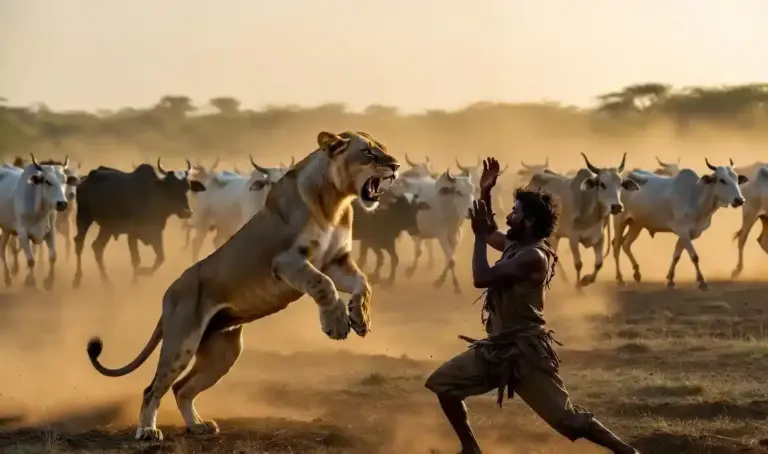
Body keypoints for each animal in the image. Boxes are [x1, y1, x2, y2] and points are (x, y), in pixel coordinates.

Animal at [85, 131, 400, 442]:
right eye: (368, 152)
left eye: (383, 149)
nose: (395, 166)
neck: (335, 203)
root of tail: (168, 295)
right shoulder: (286, 261)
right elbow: (323, 285)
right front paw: (336, 324)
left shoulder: (337, 260)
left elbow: (363, 283)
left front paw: (360, 317)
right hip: (181, 342)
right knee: (153, 389)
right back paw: (148, 431)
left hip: (223, 352)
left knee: (181, 388)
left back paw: (197, 425)